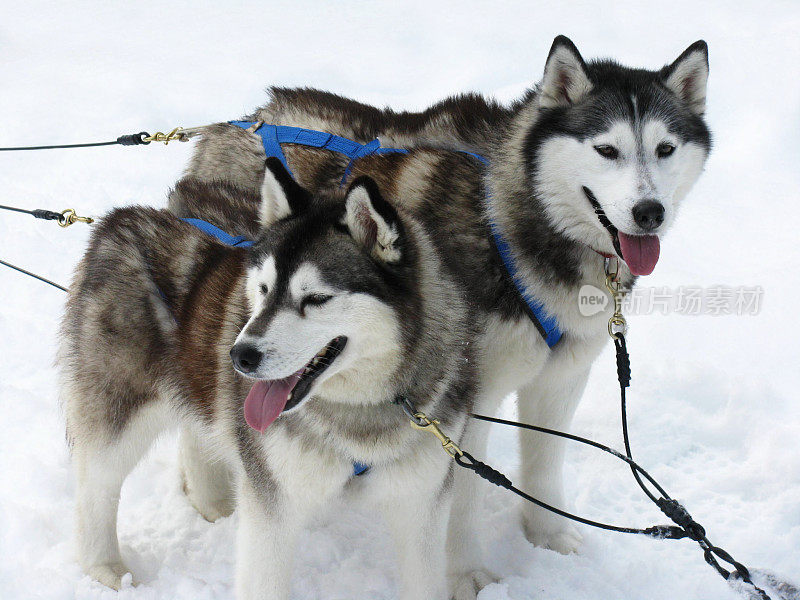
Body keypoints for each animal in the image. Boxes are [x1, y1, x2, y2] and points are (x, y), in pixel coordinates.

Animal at [61, 159, 482, 600]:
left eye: (316, 299)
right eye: (262, 289)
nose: (239, 356)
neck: (357, 414)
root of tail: (124, 217)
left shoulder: (422, 503)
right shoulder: (273, 505)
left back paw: (214, 505)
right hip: (120, 414)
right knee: (96, 488)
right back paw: (105, 569)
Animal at [175, 36, 712, 572]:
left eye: (665, 149)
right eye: (607, 150)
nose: (649, 212)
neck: (509, 222)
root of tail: (245, 119)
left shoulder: (562, 378)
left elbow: (543, 464)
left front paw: (549, 537)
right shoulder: (467, 398)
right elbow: (463, 496)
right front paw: (467, 573)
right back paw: (211, 495)